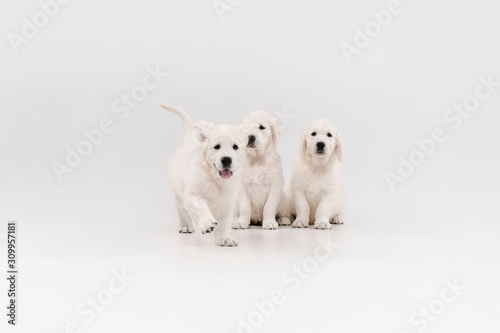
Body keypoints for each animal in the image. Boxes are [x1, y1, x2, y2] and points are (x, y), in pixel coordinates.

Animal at [160, 105, 246, 245]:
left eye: (235, 147)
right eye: (216, 146)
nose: (226, 159)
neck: (215, 177)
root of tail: (188, 141)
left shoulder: (227, 202)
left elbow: (223, 222)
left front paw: (224, 238)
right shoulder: (192, 194)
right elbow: (201, 207)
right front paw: (207, 223)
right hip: (178, 191)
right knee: (182, 210)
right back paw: (186, 226)